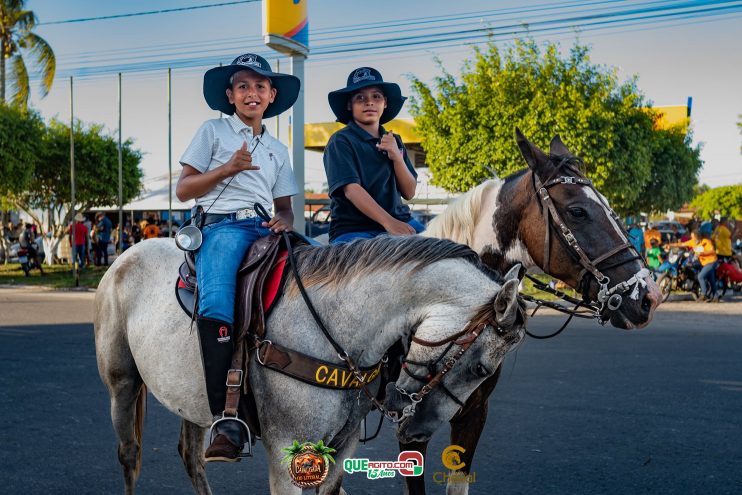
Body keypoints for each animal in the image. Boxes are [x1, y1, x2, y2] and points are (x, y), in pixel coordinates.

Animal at [96, 234, 528, 494]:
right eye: (481, 369)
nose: (417, 430)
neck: (336, 323)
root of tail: (126, 254)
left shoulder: (341, 447)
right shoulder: (287, 451)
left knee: (191, 456)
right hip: (122, 385)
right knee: (129, 454)